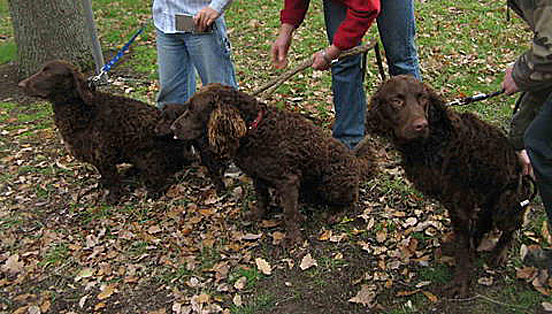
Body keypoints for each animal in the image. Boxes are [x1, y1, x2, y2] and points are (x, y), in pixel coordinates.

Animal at [18, 60, 195, 204]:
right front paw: (103, 184)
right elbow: (104, 175)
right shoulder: (96, 156)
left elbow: (112, 179)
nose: (20, 85)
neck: (82, 111)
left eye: (47, 72)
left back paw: (154, 191)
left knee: (160, 176)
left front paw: (114, 196)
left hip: (146, 156)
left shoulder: (103, 154)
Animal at [172, 83, 378, 245]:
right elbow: (262, 198)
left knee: (352, 198)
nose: (173, 127)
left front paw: (293, 239)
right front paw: (258, 216)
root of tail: (355, 160)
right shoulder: (257, 176)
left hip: (333, 184)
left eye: (192, 109)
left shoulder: (288, 181)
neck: (252, 129)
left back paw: (336, 213)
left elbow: (289, 213)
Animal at [366, 75, 536, 298]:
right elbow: (464, 237)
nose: (421, 125)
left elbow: (464, 246)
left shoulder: (461, 202)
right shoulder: (454, 201)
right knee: (484, 221)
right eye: (397, 100)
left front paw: (461, 282)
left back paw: (499, 252)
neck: (432, 143)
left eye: (423, 99)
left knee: (510, 227)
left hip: (509, 198)